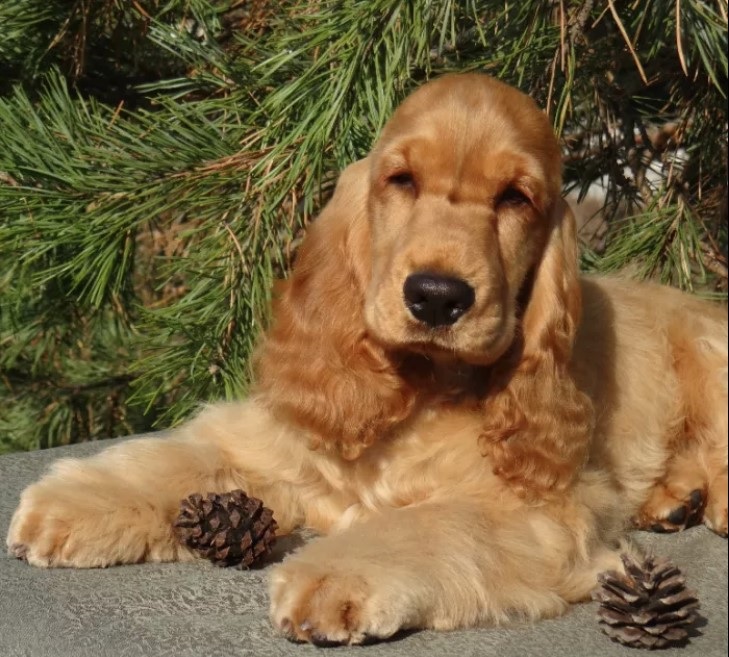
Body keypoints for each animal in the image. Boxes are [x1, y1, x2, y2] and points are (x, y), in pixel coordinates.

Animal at [7, 74, 728, 644]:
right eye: (400, 180)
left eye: (515, 197)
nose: (436, 296)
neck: (420, 386)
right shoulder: (277, 442)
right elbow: (181, 458)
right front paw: (70, 503)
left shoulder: (546, 511)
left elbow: (432, 523)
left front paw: (333, 575)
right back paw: (673, 498)